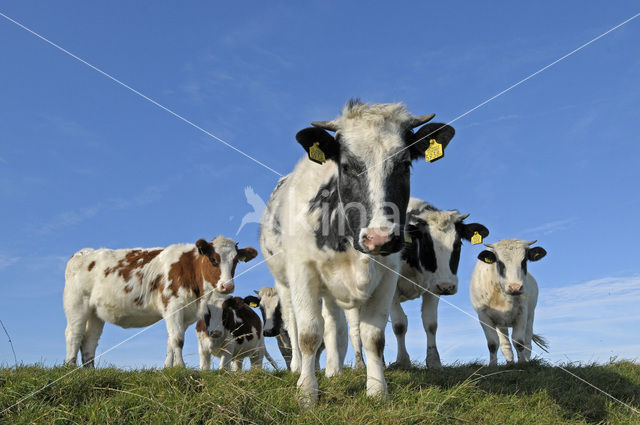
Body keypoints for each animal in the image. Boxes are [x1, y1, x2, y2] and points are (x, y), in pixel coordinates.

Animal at [63, 235, 258, 368]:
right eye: (213, 259)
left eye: (236, 261)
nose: (227, 286)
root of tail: (83, 253)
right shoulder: (173, 305)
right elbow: (178, 339)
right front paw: (181, 367)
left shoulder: (185, 313)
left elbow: (171, 341)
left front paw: (168, 368)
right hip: (77, 304)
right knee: (74, 334)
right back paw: (70, 367)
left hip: (95, 312)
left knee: (90, 340)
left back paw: (90, 370)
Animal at [258, 97, 452, 402]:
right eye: (347, 166)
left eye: (405, 163)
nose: (379, 238)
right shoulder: (302, 272)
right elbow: (308, 333)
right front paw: (307, 392)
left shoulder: (388, 276)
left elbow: (373, 336)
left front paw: (376, 390)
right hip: (284, 282)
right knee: (293, 322)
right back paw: (298, 367)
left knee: (334, 326)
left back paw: (333, 371)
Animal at [350, 199, 490, 368]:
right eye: (426, 244)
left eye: (458, 245)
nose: (447, 286)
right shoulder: (392, 289)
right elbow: (399, 325)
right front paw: (403, 360)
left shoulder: (434, 288)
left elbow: (430, 324)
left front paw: (434, 361)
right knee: (355, 329)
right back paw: (360, 364)